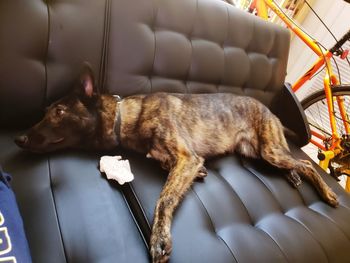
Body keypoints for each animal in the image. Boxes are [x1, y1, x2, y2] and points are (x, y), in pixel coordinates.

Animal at [15, 65, 338, 262]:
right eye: (47, 110)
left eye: (58, 112)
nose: (18, 138)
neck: (126, 115)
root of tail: (272, 112)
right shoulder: (179, 161)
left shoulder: (186, 159)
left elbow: (164, 199)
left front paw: (159, 238)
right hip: (255, 153)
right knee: (293, 164)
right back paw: (293, 177)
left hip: (269, 149)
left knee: (306, 164)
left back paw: (326, 192)